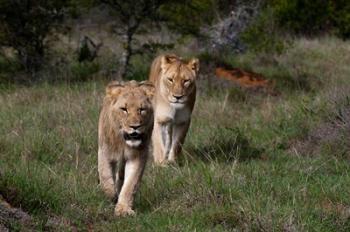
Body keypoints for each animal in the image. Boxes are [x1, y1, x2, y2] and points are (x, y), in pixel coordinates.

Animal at [98, 80, 154, 217]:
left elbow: (130, 184)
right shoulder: (104, 152)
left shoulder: (137, 156)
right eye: (124, 109)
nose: (135, 126)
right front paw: (111, 195)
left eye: (142, 109)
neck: (123, 142)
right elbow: (105, 175)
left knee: (121, 177)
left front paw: (123, 209)